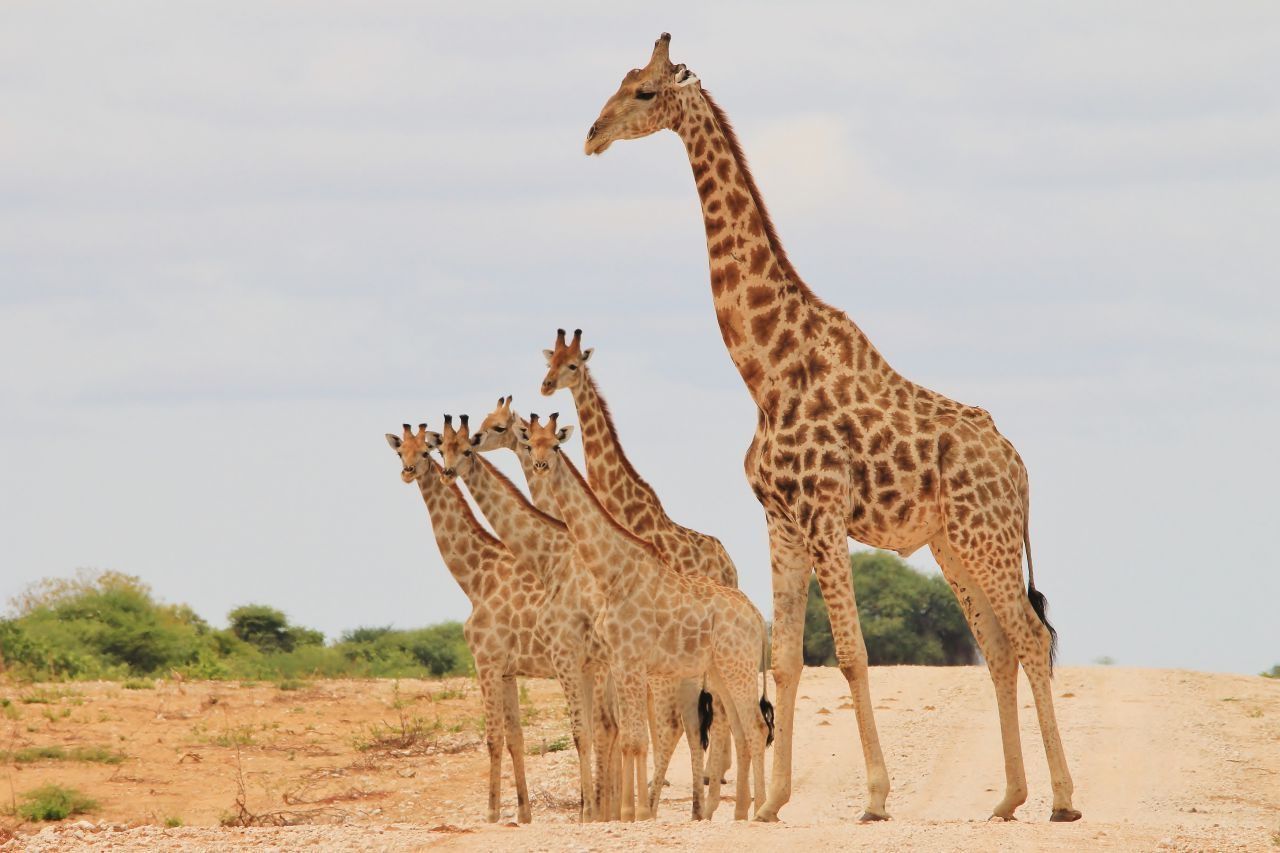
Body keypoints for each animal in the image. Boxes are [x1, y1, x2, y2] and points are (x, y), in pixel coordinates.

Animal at [427, 412, 616, 819]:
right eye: (440, 447)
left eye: (468, 446)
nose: (447, 472)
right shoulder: (517, 667)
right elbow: (518, 735)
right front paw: (529, 812)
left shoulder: (495, 661)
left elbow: (500, 736)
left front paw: (494, 813)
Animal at [517, 414, 773, 819]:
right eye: (530, 444)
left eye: (555, 445)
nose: (540, 466)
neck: (611, 572)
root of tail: (757, 618)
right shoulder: (621, 661)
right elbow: (630, 738)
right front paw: (629, 812)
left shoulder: (629, 660)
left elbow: (634, 740)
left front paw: (630, 815)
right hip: (721, 670)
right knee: (742, 730)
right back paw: (740, 813)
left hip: (738, 667)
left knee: (756, 729)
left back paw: (761, 810)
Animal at [583, 34, 1080, 824]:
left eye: (644, 92)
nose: (592, 134)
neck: (764, 366)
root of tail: (1019, 465)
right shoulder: (781, 520)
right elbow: (787, 660)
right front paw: (770, 803)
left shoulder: (823, 512)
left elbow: (849, 653)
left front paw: (875, 796)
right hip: (953, 543)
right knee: (1000, 647)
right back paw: (1008, 797)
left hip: (988, 537)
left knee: (1031, 637)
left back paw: (1062, 798)